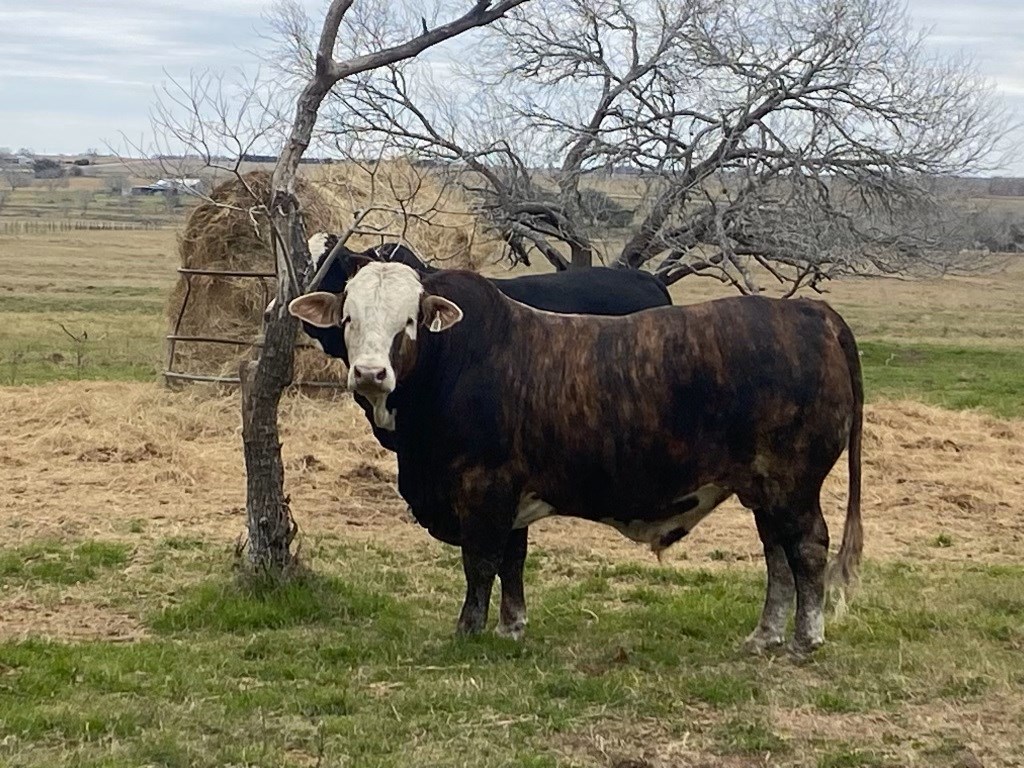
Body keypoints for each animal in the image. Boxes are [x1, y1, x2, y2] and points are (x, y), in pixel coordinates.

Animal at [292, 264, 868, 655]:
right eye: (349, 318)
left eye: (408, 321)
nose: (370, 373)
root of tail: (808, 312)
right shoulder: (512, 496)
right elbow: (513, 561)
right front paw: (512, 627)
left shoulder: (483, 489)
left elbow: (480, 563)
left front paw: (468, 630)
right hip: (763, 488)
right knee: (777, 555)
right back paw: (765, 635)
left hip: (792, 483)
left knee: (807, 549)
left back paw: (805, 639)